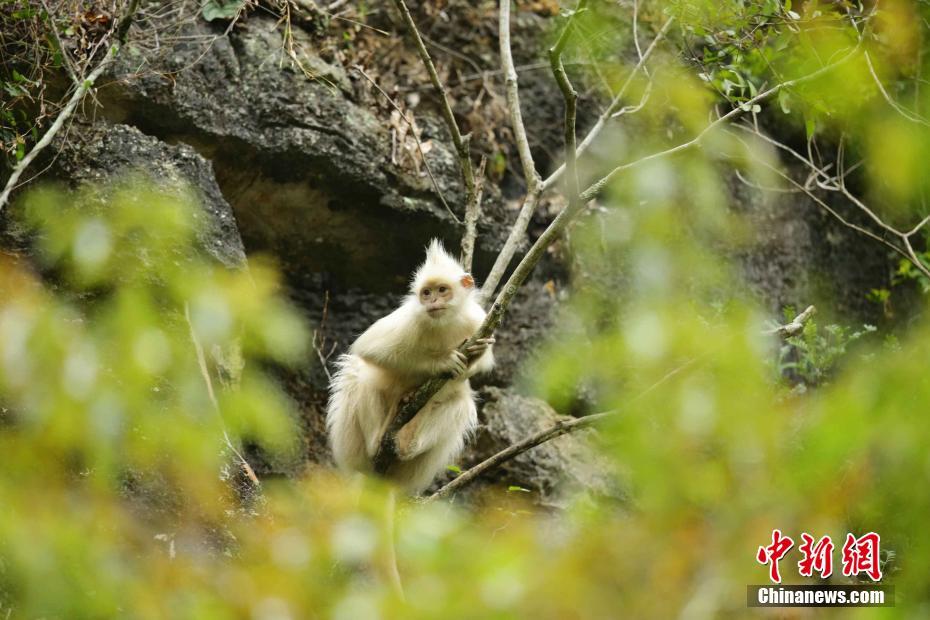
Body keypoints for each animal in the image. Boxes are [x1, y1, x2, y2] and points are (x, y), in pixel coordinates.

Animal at [330, 239, 496, 494]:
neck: (444, 322)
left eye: (442, 290)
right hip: (353, 448)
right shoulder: (411, 317)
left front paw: (476, 352)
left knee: (460, 402)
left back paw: (407, 437)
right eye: (426, 293)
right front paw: (442, 362)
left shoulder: (478, 320)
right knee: (360, 374)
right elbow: (369, 347)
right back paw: (378, 437)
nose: (433, 301)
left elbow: (479, 363)